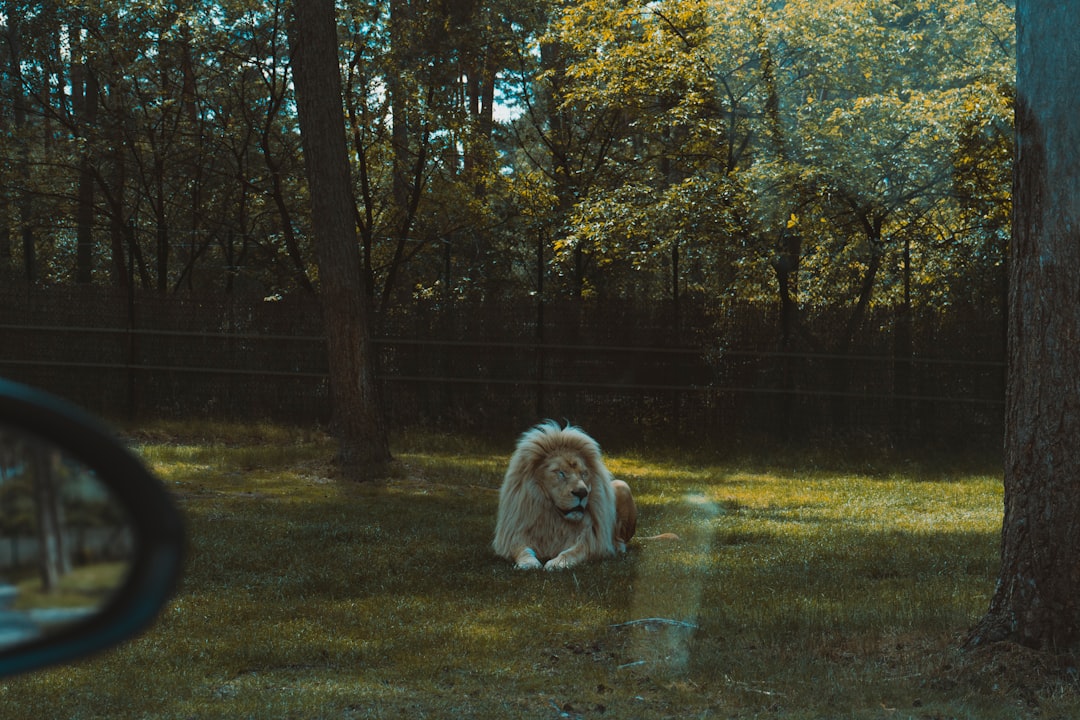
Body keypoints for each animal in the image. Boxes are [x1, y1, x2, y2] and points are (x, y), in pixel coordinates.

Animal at [494, 418, 635, 569]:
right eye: (560, 473)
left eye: (584, 474)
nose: (582, 492)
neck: (554, 519)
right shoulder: (514, 536)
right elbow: (521, 550)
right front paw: (528, 562)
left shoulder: (593, 539)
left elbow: (573, 552)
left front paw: (557, 563)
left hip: (622, 485)